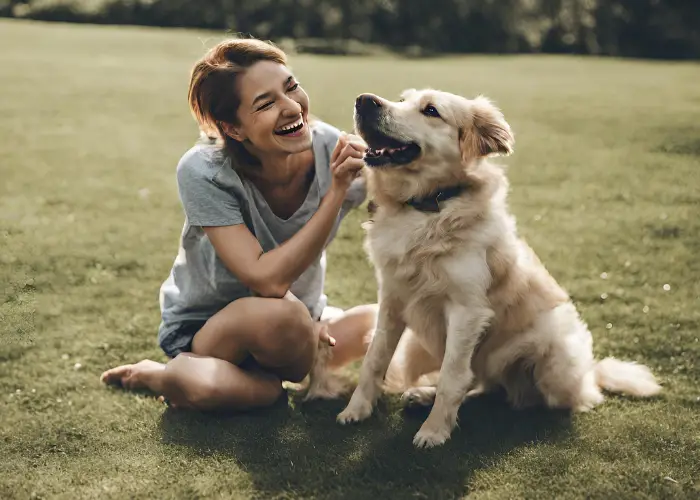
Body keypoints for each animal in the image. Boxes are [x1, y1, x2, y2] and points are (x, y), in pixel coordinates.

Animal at [336, 90, 660, 450]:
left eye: (431, 110)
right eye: (402, 99)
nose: (364, 100)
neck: (429, 208)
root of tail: (591, 372)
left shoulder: (466, 310)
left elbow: (452, 375)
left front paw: (434, 431)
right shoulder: (392, 299)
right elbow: (374, 359)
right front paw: (357, 410)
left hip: (554, 350)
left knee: (535, 398)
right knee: (486, 385)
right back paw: (423, 395)